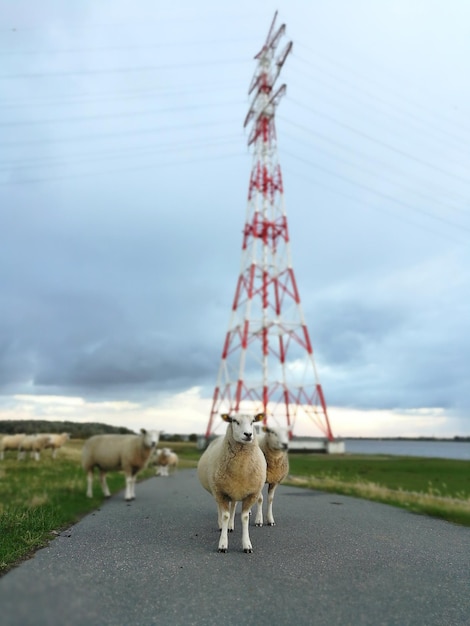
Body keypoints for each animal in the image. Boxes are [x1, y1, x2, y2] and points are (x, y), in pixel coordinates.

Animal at [196, 414, 266, 552]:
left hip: (234, 491)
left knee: (233, 506)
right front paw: (223, 544)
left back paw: (230, 526)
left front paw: (247, 544)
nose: (248, 434)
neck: (240, 470)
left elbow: (244, 517)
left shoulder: (251, 494)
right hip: (218, 490)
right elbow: (225, 515)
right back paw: (221, 525)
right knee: (220, 508)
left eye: (253, 421)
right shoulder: (220, 492)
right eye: (234, 421)